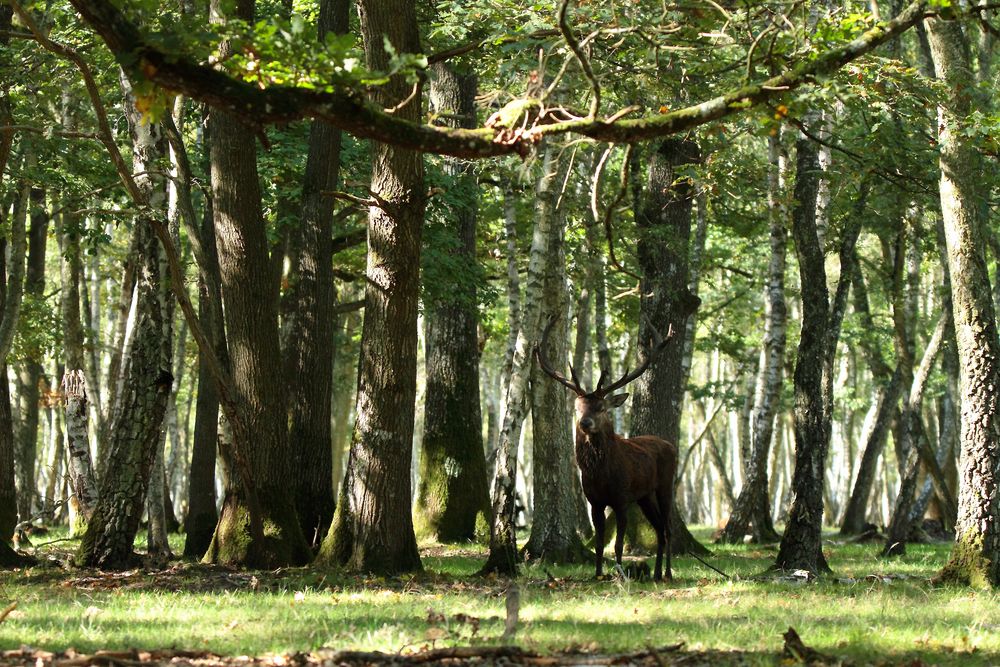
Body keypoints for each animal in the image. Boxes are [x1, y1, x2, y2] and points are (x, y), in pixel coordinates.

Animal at [540, 316, 680, 580]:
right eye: (577, 407)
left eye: (601, 408)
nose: (585, 423)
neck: (601, 475)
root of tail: (671, 445)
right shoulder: (595, 501)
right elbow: (599, 542)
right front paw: (597, 574)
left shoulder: (621, 498)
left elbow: (617, 544)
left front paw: (620, 573)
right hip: (645, 496)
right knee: (658, 528)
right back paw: (656, 572)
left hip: (665, 485)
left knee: (668, 528)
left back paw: (667, 572)